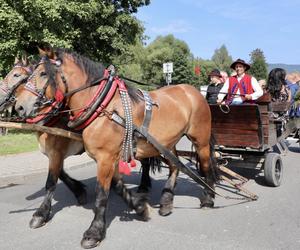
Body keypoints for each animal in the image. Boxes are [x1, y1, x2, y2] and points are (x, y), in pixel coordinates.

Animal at [15, 47, 217, 249]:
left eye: (43, 73)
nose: (19, 107)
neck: (104, 107)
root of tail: (192, 90)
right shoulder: (109, 157)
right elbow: (117, 186)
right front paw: (140, 207)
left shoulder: (103, 157)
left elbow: (100, 194)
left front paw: (94, 232)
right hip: (166, 143)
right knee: (175, 165)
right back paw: (167, 202)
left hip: (200, 140)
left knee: (206, 165)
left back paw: (208, 197)